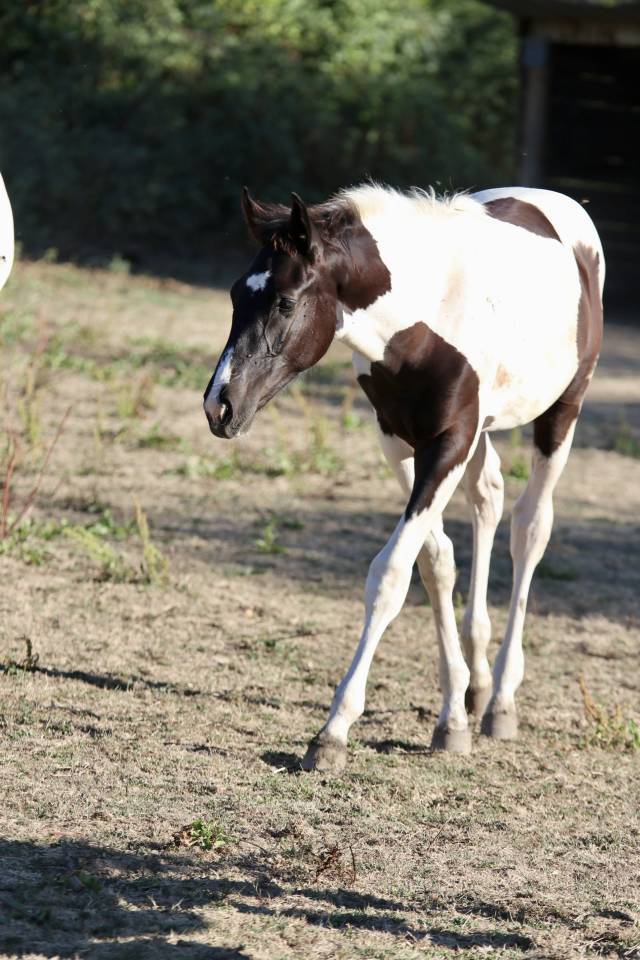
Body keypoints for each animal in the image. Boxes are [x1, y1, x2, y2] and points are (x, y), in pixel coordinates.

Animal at [203, 183, 604, 772]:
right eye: (235, 296)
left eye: (285, 302)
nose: (220, 407)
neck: (425, 316)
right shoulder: (397, 439)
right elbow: (435, 562)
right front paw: (452, 715)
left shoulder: (450, 442)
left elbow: (390, 574)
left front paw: (333, 732)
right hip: (482, 433)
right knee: (488, 498)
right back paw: (479, 684)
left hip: (561, 412)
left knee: (529, 528)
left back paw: (502, 700)